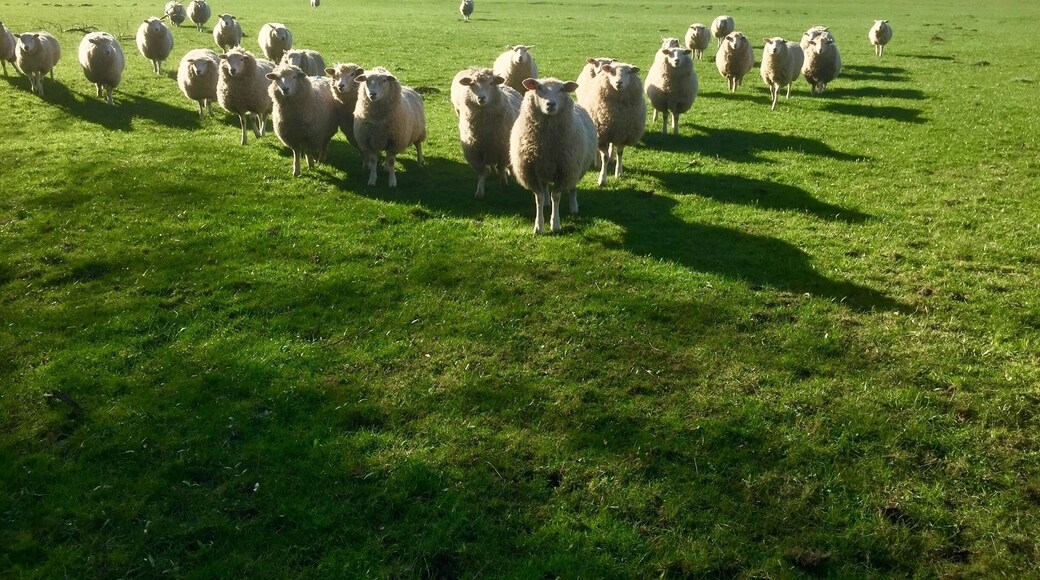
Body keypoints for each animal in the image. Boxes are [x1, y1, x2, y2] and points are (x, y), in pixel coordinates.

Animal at [451, 66, 522, 198]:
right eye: (472, 83)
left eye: (491, 83)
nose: (481, 98)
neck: (484, 131)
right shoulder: (474, 153)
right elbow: (482, 172)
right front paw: (479, 191)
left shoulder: (503, 150)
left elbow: (501, 167)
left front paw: (504, 183)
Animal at [509, 77, 597, 234]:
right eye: (538, 88)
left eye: (562, 89)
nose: (551, 104)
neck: (547, 145)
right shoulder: (531, 171)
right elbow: (538, 198)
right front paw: (538, 225)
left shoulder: (564, 170)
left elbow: (556, 196)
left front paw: (555, 224)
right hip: (544, 168)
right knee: (545, 188)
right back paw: (546, 203)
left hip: (575, 168)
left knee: (572, 188)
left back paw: (574, 207)